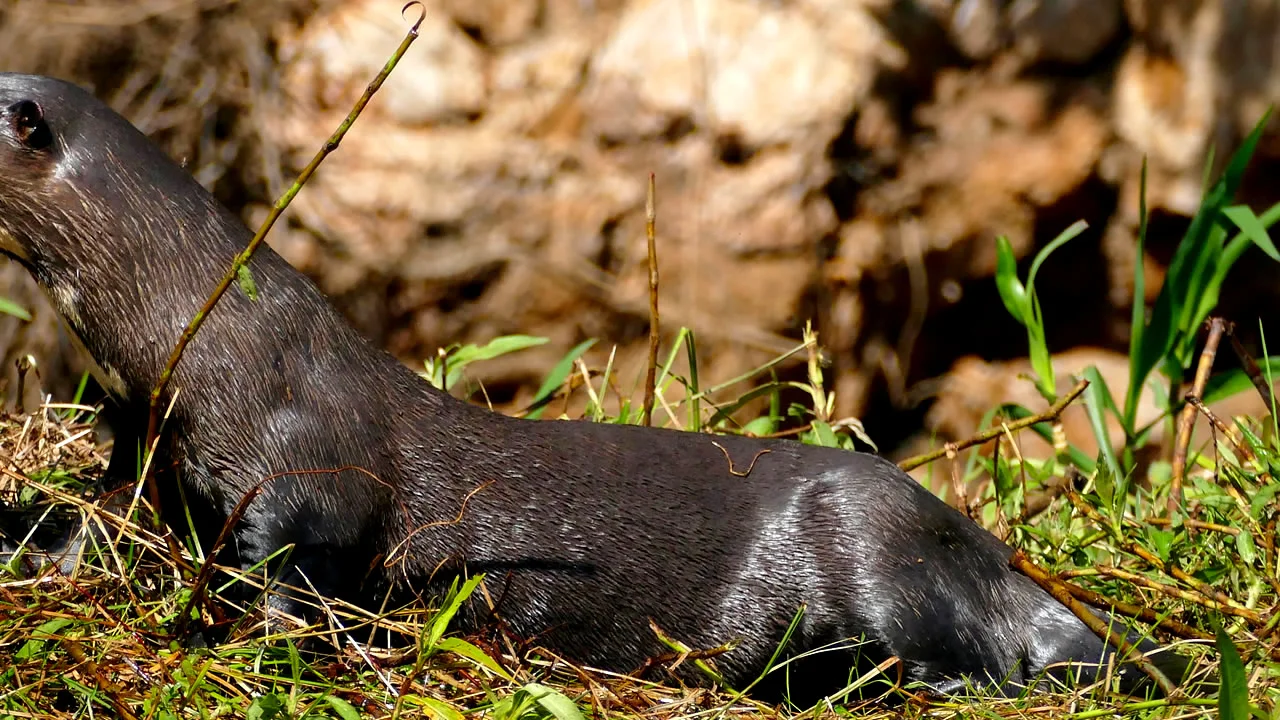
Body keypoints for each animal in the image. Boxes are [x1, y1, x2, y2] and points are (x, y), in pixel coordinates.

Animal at [0, 74, 1187, 702]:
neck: (202, 340)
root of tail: (988, 552)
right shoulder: (148, 444)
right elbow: (105, 517)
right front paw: (46, 551)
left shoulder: (307, 464)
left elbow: (301, 571)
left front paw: (235, 644)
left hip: (875, 551)